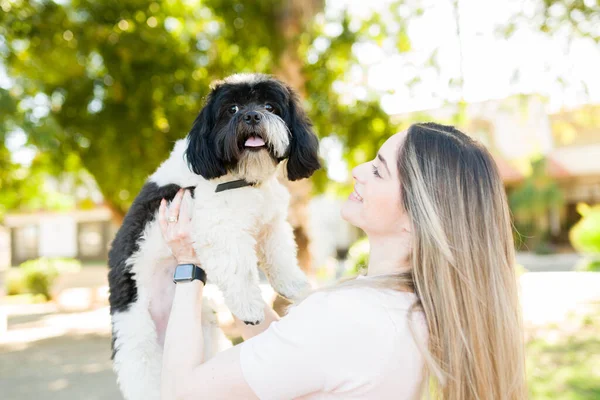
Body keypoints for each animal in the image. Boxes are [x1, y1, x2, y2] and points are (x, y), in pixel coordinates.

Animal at [108, 72, 324, 400]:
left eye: (270, 106)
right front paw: (249, 309)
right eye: (232, 109)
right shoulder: (218, 227)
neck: (242, 179)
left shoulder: (270, 222)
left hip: (206, 330)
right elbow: (239, 270)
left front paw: (294, 285)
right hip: (138, 340)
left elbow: (280, 254)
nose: (251, 115)